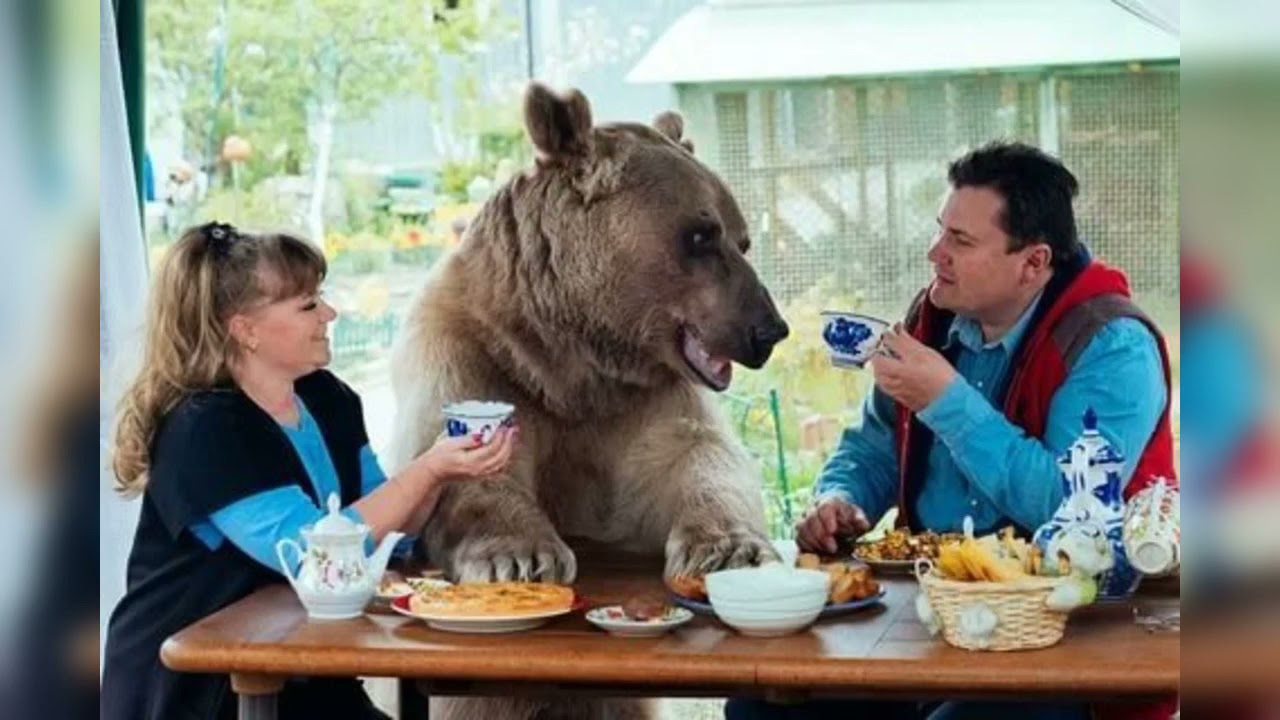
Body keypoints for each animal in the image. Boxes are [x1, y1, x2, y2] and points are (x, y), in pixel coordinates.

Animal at [389, 83, 790, 719]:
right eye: (700, 235)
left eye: (742, 236)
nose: (768, 330)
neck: (569, 359)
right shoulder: (473, 353)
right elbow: (460, 464)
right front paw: (522, 556)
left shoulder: (643, 399)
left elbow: (697, 458)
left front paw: (729, 550)